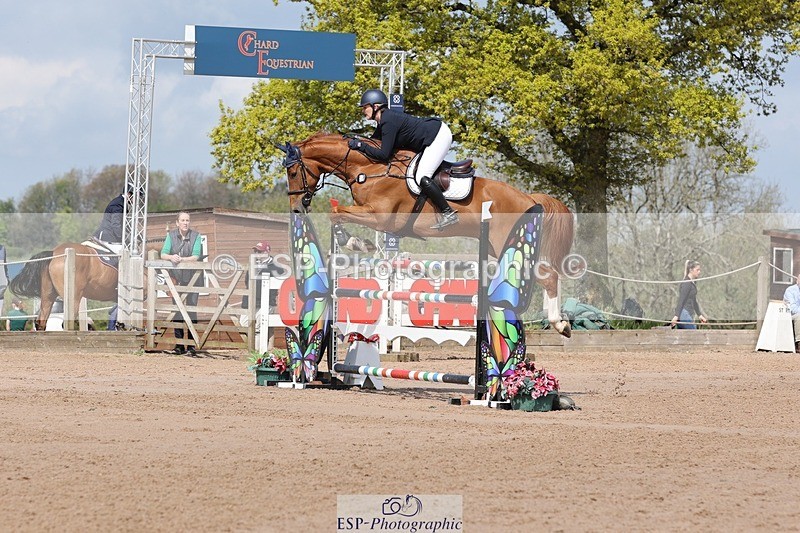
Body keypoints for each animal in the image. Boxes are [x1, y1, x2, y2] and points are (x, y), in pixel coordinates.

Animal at [277, 131, 575, 337]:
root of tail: (529, 197)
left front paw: (356, 242)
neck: (370, 169)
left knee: (547, 276)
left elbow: (336, 213)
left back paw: (560, 324)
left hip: (506, 241)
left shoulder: (381, 216)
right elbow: (336, 213)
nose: (296, 208)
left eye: (292, 171)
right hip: (495, 245)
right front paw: (356, 242)